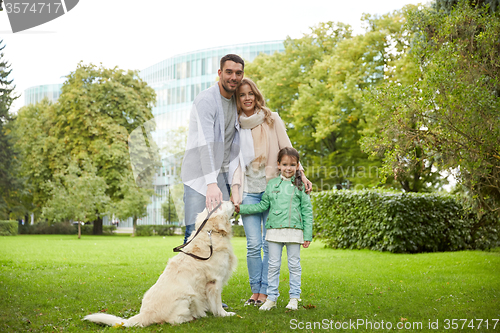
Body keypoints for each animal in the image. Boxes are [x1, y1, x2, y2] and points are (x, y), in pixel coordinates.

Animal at [83, 201, 237, 326]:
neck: (211, 233)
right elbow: (217, 302)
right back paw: (191, 318)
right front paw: (224, 314)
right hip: (187, 297)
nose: (231, 200)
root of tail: (145, 313)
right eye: (220, 204)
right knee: (174, 320)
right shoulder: (215, 281)